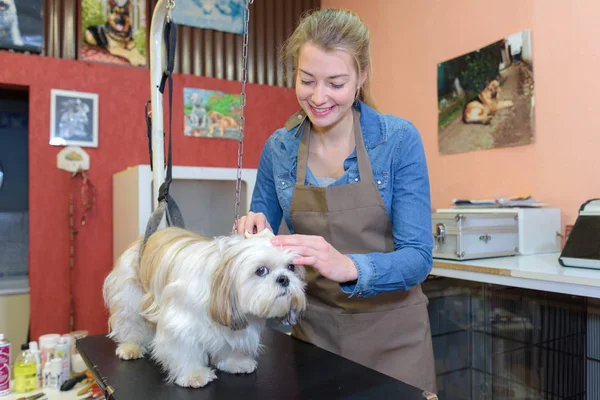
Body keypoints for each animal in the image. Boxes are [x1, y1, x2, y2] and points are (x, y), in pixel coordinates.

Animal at [103, 228, 308, 388]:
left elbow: (229, 345)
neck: (218, 280)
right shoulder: (181, 323)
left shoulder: (231, 324)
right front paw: (193, 374)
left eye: (291, 267)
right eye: (261, 270)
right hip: (130, 299)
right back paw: (130, 347)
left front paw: (234, 362)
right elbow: (184, 348)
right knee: (131, 324)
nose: (284, 279)